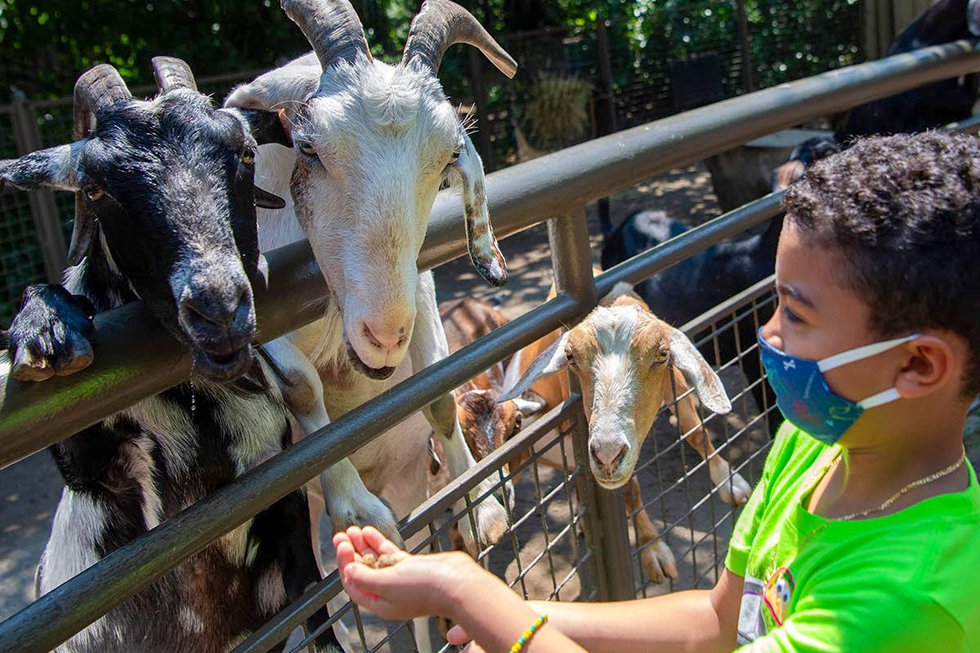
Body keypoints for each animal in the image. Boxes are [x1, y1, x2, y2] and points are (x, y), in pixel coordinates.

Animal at [0, 58, 378, 648]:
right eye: (95, 188)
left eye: (245, 153)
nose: (218, 307)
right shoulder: (97, 478)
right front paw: (46, 326)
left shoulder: (286, 511)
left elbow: (319, 620)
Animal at [502, 284, 756, 580]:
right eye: (570, 357)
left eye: (662, 353)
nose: (607, 454)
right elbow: (628, 488)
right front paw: (652, 547)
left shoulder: (672, 383)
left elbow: (696, 432)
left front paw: (730, 481)